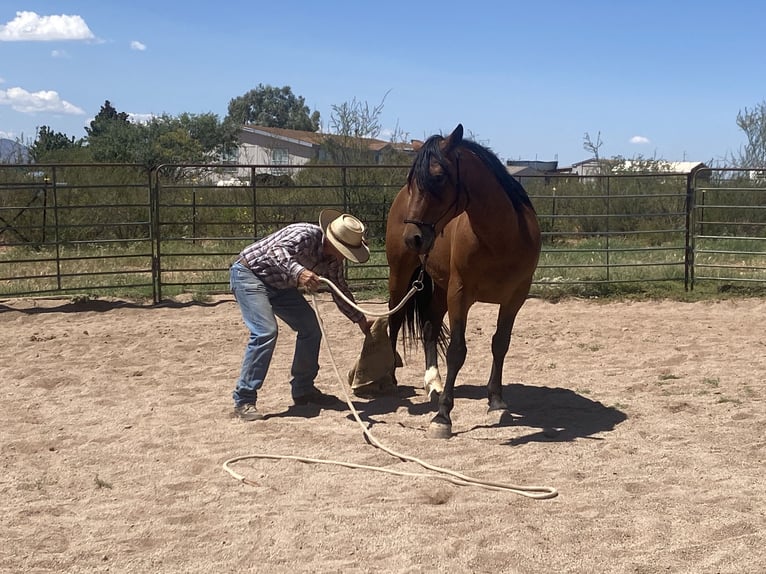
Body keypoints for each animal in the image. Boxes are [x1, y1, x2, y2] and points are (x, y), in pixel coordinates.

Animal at [388, 125, 544, 440]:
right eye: (412, 181)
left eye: (438, 177)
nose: (413, 238)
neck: (501, 239)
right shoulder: (460, 295)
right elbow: (457, 351)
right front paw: (443, 417)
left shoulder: (514, 299)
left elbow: (500, 343)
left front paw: (495, 399)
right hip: (401, 278)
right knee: (394, 321)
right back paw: (388, 379)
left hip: (438, 288)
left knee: (429, 327)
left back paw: (433, 382)